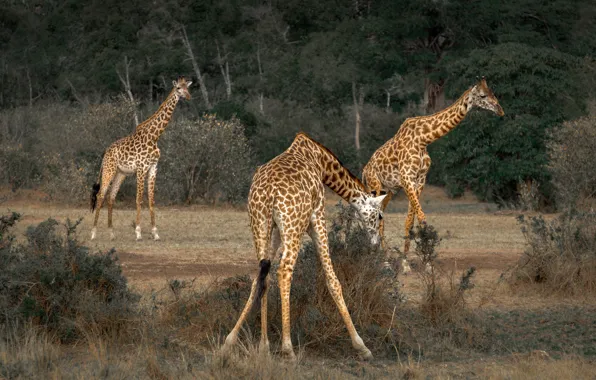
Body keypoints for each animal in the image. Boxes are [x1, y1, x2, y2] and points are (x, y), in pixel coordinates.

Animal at [89, 77, 192, 240]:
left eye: (187, 88)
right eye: (178, 88)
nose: (188, 96)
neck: (154, 137)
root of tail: (105, 153)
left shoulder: (153, 168)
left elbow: (151, 199)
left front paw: (155, 233)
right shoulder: (141, 168)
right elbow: (139, 199)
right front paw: (138, 232)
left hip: (121, 173)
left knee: (111, 197)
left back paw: (112, 233)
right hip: (109, 170)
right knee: (100, 195)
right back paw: (93, 233)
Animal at [220, 133, 386, 360]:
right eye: (379, 216)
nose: (375, 243)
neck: (320, 161)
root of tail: (269, 192)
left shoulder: (275, 230)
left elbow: (262, 280)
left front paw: (261, 345)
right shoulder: (318, 216)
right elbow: (333, 280)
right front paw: (361, 346)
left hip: (259, 224)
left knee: (261, 274)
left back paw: (239, 343)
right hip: (293, 227)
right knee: (284, 271)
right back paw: (288, 348)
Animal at [360, 78, 506, 274]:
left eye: (492, 92)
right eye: (483, 95)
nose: (500, 110)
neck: (423, 139)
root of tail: (364, 170)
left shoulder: (419, 180)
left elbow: (410, 221)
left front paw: (407, 263)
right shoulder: (406, 178)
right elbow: (422, 218)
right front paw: (425, 263)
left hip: (388, 191)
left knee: (380, 217)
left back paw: (382, 259)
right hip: (374, 186)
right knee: (375, 218)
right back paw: (381, 262)